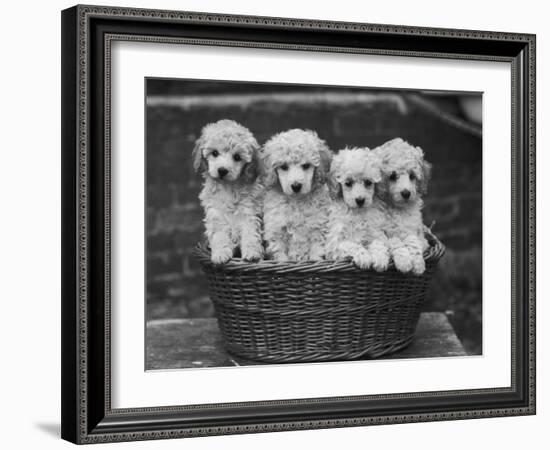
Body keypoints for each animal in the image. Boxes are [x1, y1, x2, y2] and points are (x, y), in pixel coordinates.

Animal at [193, 119, 264, 264]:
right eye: (214, 153)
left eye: (237, 157)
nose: (222, 170)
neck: (228, 187)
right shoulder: (216, 214)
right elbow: (219, 235)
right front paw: (220, 254)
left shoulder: (249, 212)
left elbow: (250, 233)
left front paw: (252, 253)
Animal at [262, 128, 334, 262]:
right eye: (283, 167)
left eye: (306, 166)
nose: (296, 186)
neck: (297, 201)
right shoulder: (276, 228)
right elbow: (279, 252)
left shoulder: (317, 226)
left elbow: (316, 250)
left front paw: (315, 259)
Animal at [378, 137, 434, 276]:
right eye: (392, 176)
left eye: (412, 176)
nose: (406, 193)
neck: (398, 209)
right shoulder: (382, 232)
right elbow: (395, 241)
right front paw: (404, 262)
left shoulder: (415, 230)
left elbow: (413, 241)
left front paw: (418, 264)